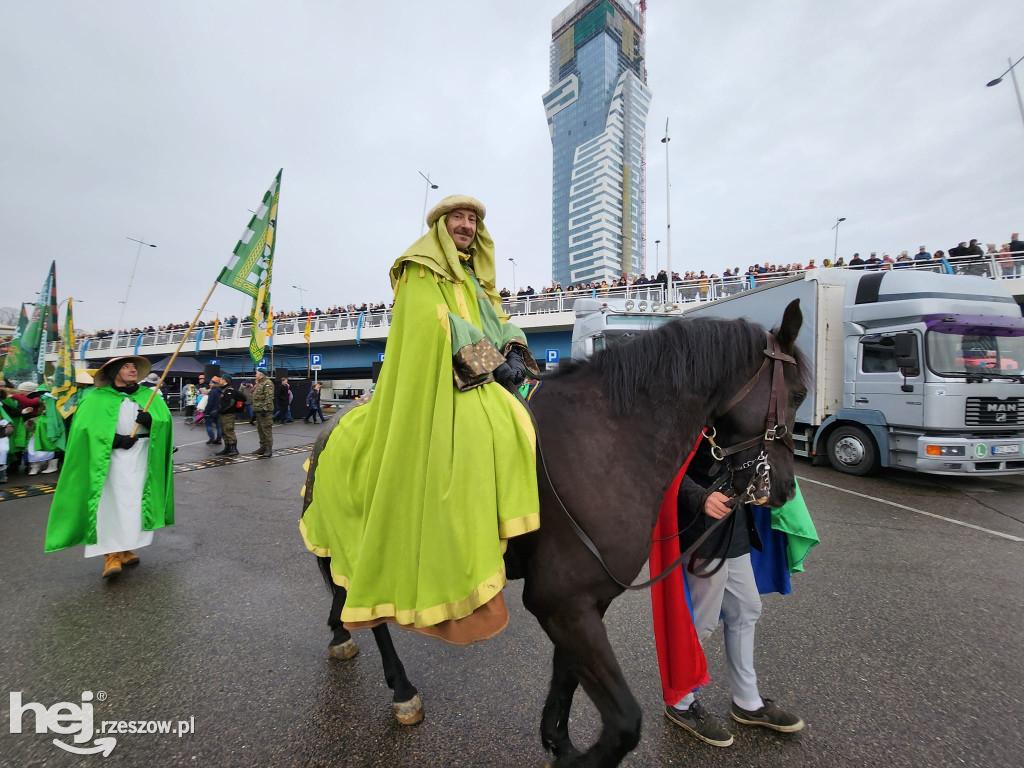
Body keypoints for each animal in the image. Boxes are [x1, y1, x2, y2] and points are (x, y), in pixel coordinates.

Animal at [303, 301, 806, 768]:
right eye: (800, 392)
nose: (783, 488)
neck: (606, 442)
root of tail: (341, 416)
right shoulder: (560, 601)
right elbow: (624, 722)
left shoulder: (585, 601)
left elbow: (566, 677)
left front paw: (557, 742)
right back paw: (400, 687)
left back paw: (342, 636)